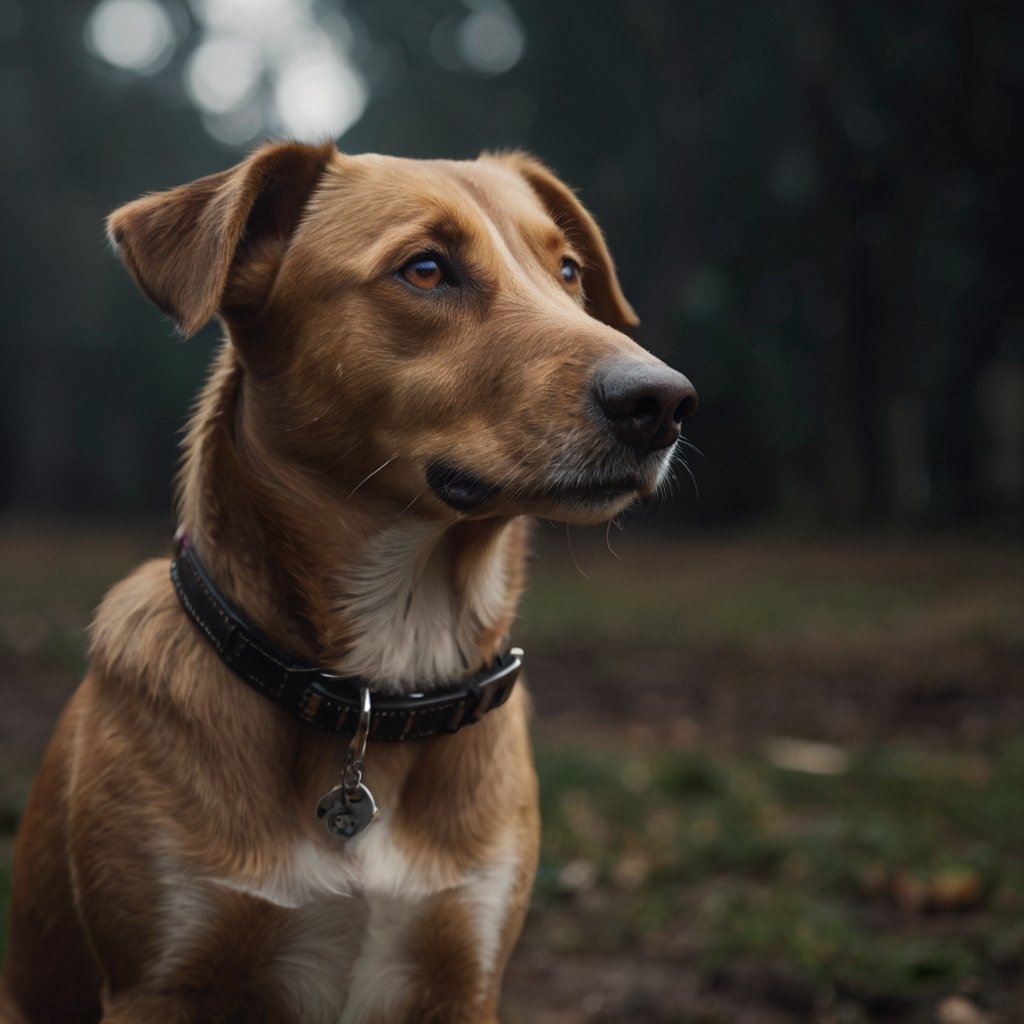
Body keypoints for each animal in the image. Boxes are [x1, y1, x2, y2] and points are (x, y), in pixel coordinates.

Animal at [0, 144, 696, 1024]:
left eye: (568, 270)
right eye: (426, 269)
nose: (664, 401)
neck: (382, 686)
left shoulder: (463, 974)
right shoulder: (159, 983)